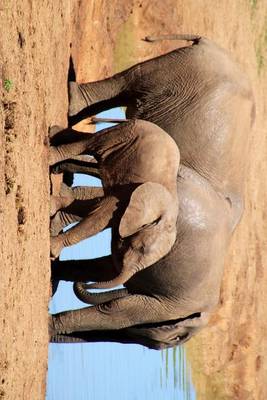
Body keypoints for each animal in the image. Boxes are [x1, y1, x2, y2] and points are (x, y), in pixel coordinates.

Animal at [49, 120, 181, 290]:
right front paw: (52, 250)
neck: (170, 214)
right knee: (92, 143)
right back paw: (50, 156)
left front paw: (52, 207)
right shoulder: (127, 193)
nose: (82, 284)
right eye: (142, 248)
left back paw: (53, 135)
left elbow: (93, 209)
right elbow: (99, 218)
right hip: (125, 134)